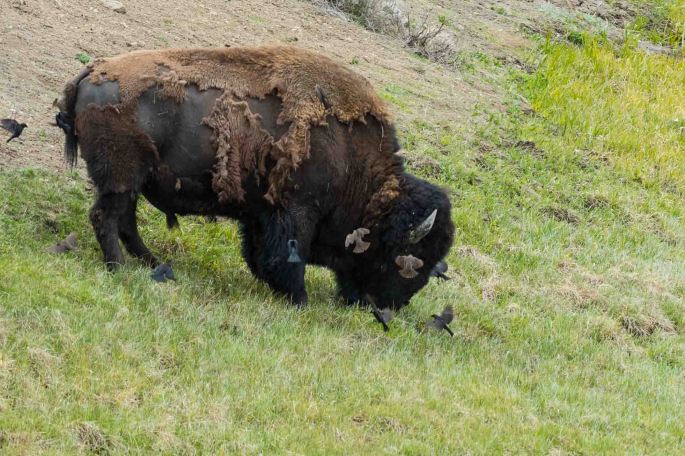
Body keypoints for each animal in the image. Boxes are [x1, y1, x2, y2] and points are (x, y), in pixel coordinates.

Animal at [54, 46, 454, 315]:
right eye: (409, 258)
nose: (389, 307)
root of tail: (91, 72)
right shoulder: (296, 213)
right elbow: (289, 257)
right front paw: (299, 300)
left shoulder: (261, 215)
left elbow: (259, 253)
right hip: (122, 176)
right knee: (106, 217)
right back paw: (120, 268)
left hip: (130, 182)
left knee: (125, 221)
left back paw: (153, 264)